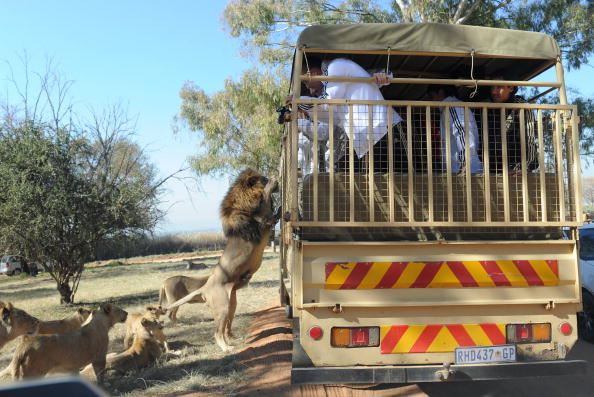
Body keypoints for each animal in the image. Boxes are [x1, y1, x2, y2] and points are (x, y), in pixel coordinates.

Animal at [166, 169, 278, 352]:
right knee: (217, 332)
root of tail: (204, 287)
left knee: (226, 328)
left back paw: (233, 339)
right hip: (223, 306)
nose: (275, 179)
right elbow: (271, 207)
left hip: (232, 305)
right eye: (264, 179)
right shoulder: (263, 226)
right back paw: (226, 348)